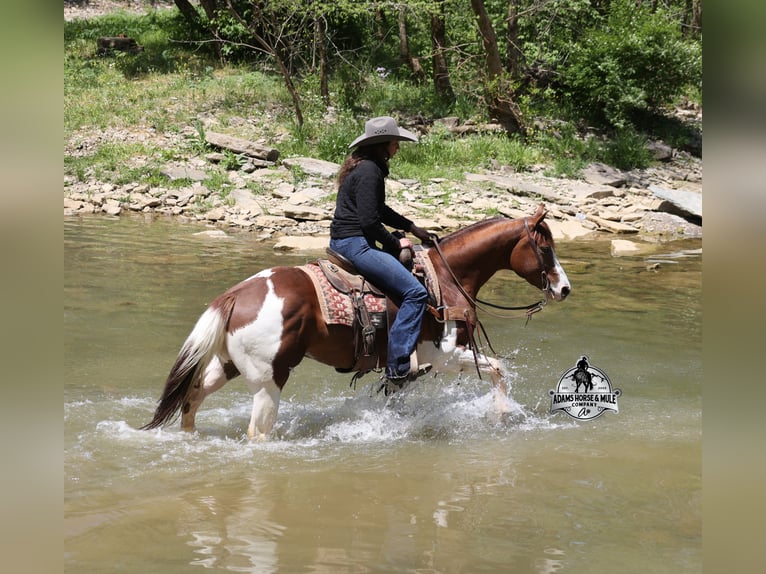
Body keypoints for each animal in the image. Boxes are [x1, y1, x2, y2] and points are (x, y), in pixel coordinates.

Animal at [141, 204, 571, 439]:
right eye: (545, 246)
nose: (563, 288)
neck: (446, 279)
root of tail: (234, 295)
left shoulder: (407, 369)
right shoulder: (445, 355)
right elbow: (498, 369)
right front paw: (501, 416)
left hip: (227, 365)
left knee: (192, 398)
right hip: (268, 379)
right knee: (256, 432)